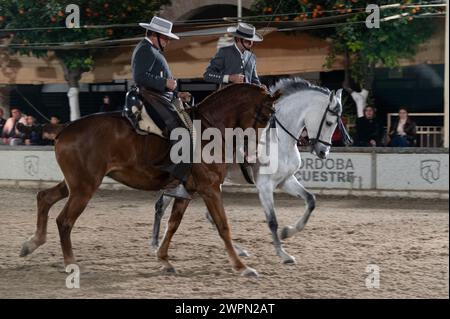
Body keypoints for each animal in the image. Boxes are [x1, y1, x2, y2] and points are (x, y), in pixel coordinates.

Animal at [20, 84, 278, 278]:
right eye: (266, 115)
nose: (256, 152)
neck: (209, 129)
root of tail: (65, 127)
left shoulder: (188, 191)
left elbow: (173, 224)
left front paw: (164, 260)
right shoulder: (210, 188)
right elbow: (223, 226)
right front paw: (242, 267)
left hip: (75, 184)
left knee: (44, 197)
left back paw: (32, 243)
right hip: (84, 188)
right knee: (64, 221)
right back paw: (70, 263)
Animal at [149, 78, 350, 264]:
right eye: (330, 122)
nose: (323, 152)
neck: (279, 139)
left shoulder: (285, 180)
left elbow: (310, 200)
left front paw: (287, 232)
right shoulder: (264, 185)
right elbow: (272, 220)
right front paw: (283, 254)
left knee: (202, 214)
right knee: (161, 205)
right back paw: (155, 244)